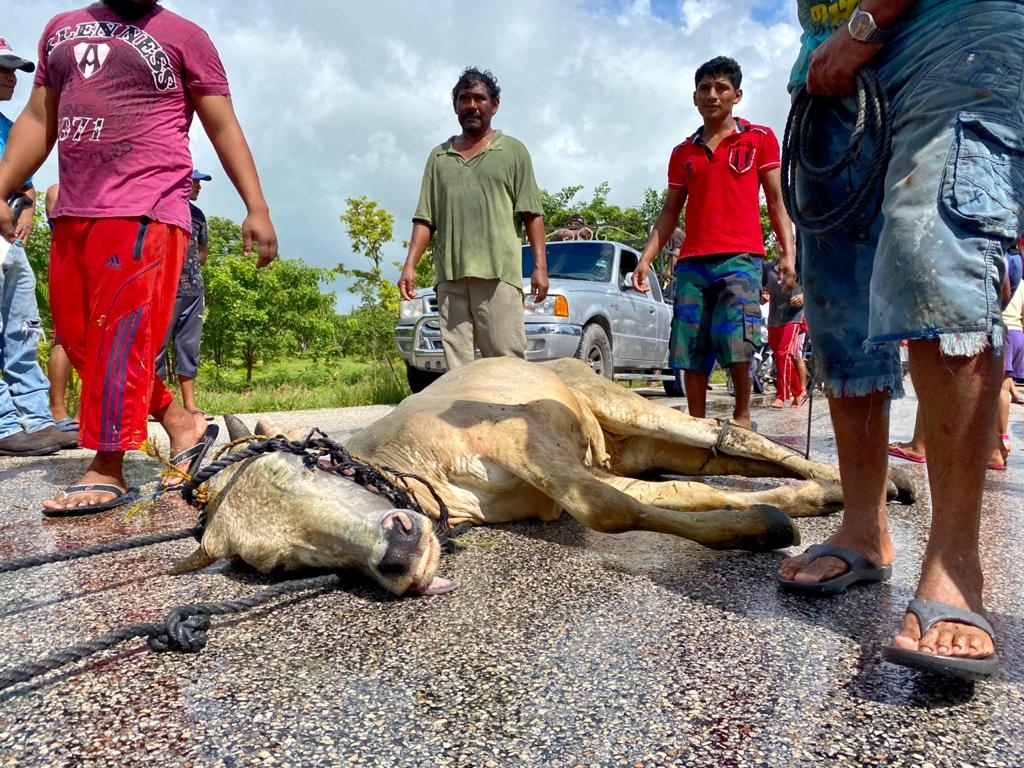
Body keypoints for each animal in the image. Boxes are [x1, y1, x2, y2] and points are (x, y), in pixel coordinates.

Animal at [172, 358, 917, 598]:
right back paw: (842, 486)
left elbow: (609, 510)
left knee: (730, 434)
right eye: (279, 565)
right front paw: (763, 518)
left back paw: (866, 485)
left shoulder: (530, 447)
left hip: (620, 404)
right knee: (722, 459)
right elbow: (645, 500)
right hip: (629, 445)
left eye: (309, 463)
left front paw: (765, 523)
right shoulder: (547, 486)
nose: (399, 555)